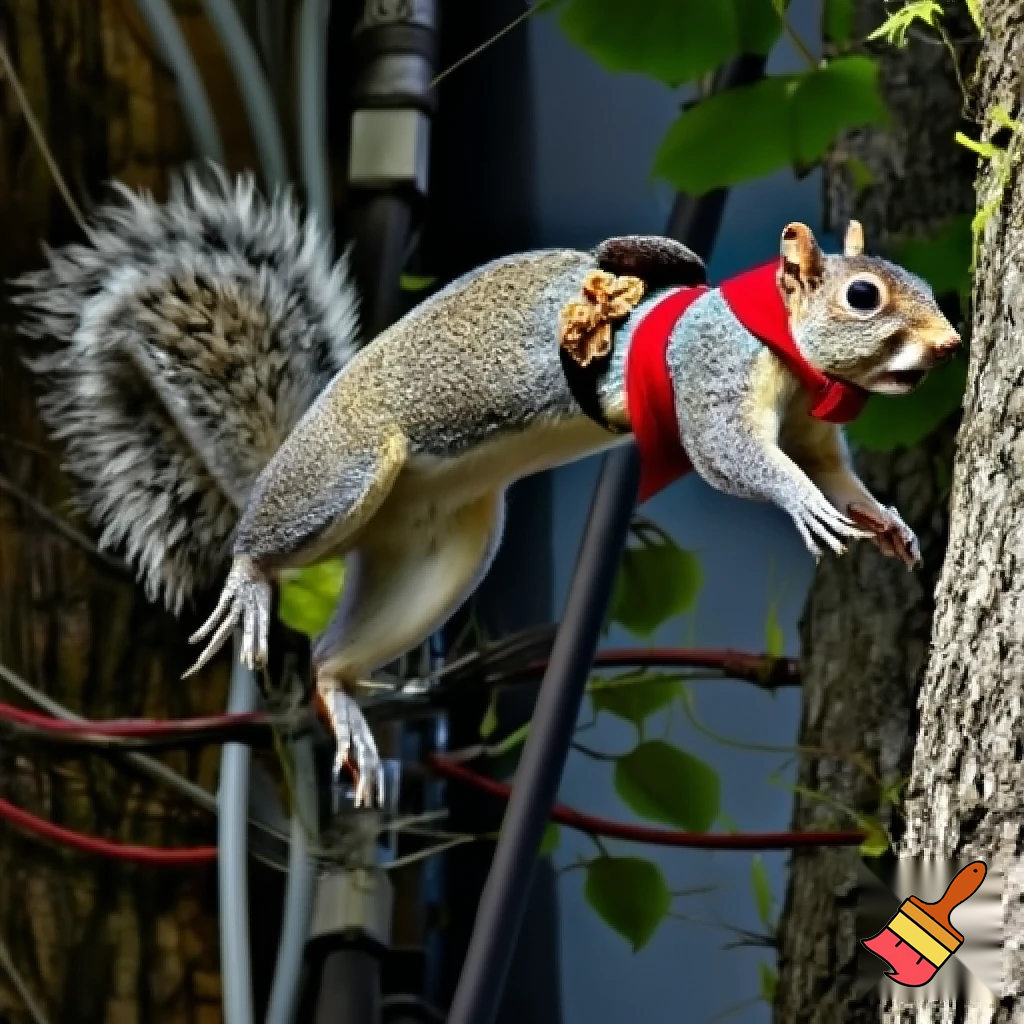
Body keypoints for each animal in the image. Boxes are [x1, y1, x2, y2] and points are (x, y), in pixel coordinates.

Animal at [11, 168, 961, 807]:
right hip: (345, 478)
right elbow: (739, 457)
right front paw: (803, 507)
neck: (786, 350)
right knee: (264, 542)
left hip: (438, 558)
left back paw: (342, 698)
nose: (951, 342)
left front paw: (885, 522)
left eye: (914, 279)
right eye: (865, 295)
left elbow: (836, 473)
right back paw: (249, 581)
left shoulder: (811, 427)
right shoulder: (711, 381)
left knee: (328, 661)